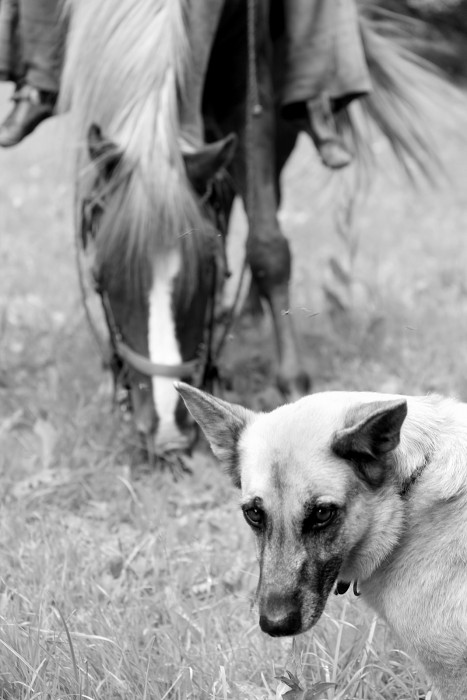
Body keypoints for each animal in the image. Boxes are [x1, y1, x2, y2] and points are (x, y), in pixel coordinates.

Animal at [62, 0, 460, 456]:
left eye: (211, 274)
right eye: (99, 279)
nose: (167, 432)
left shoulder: (251, 83)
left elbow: (268, 244)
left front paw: (292, 382)